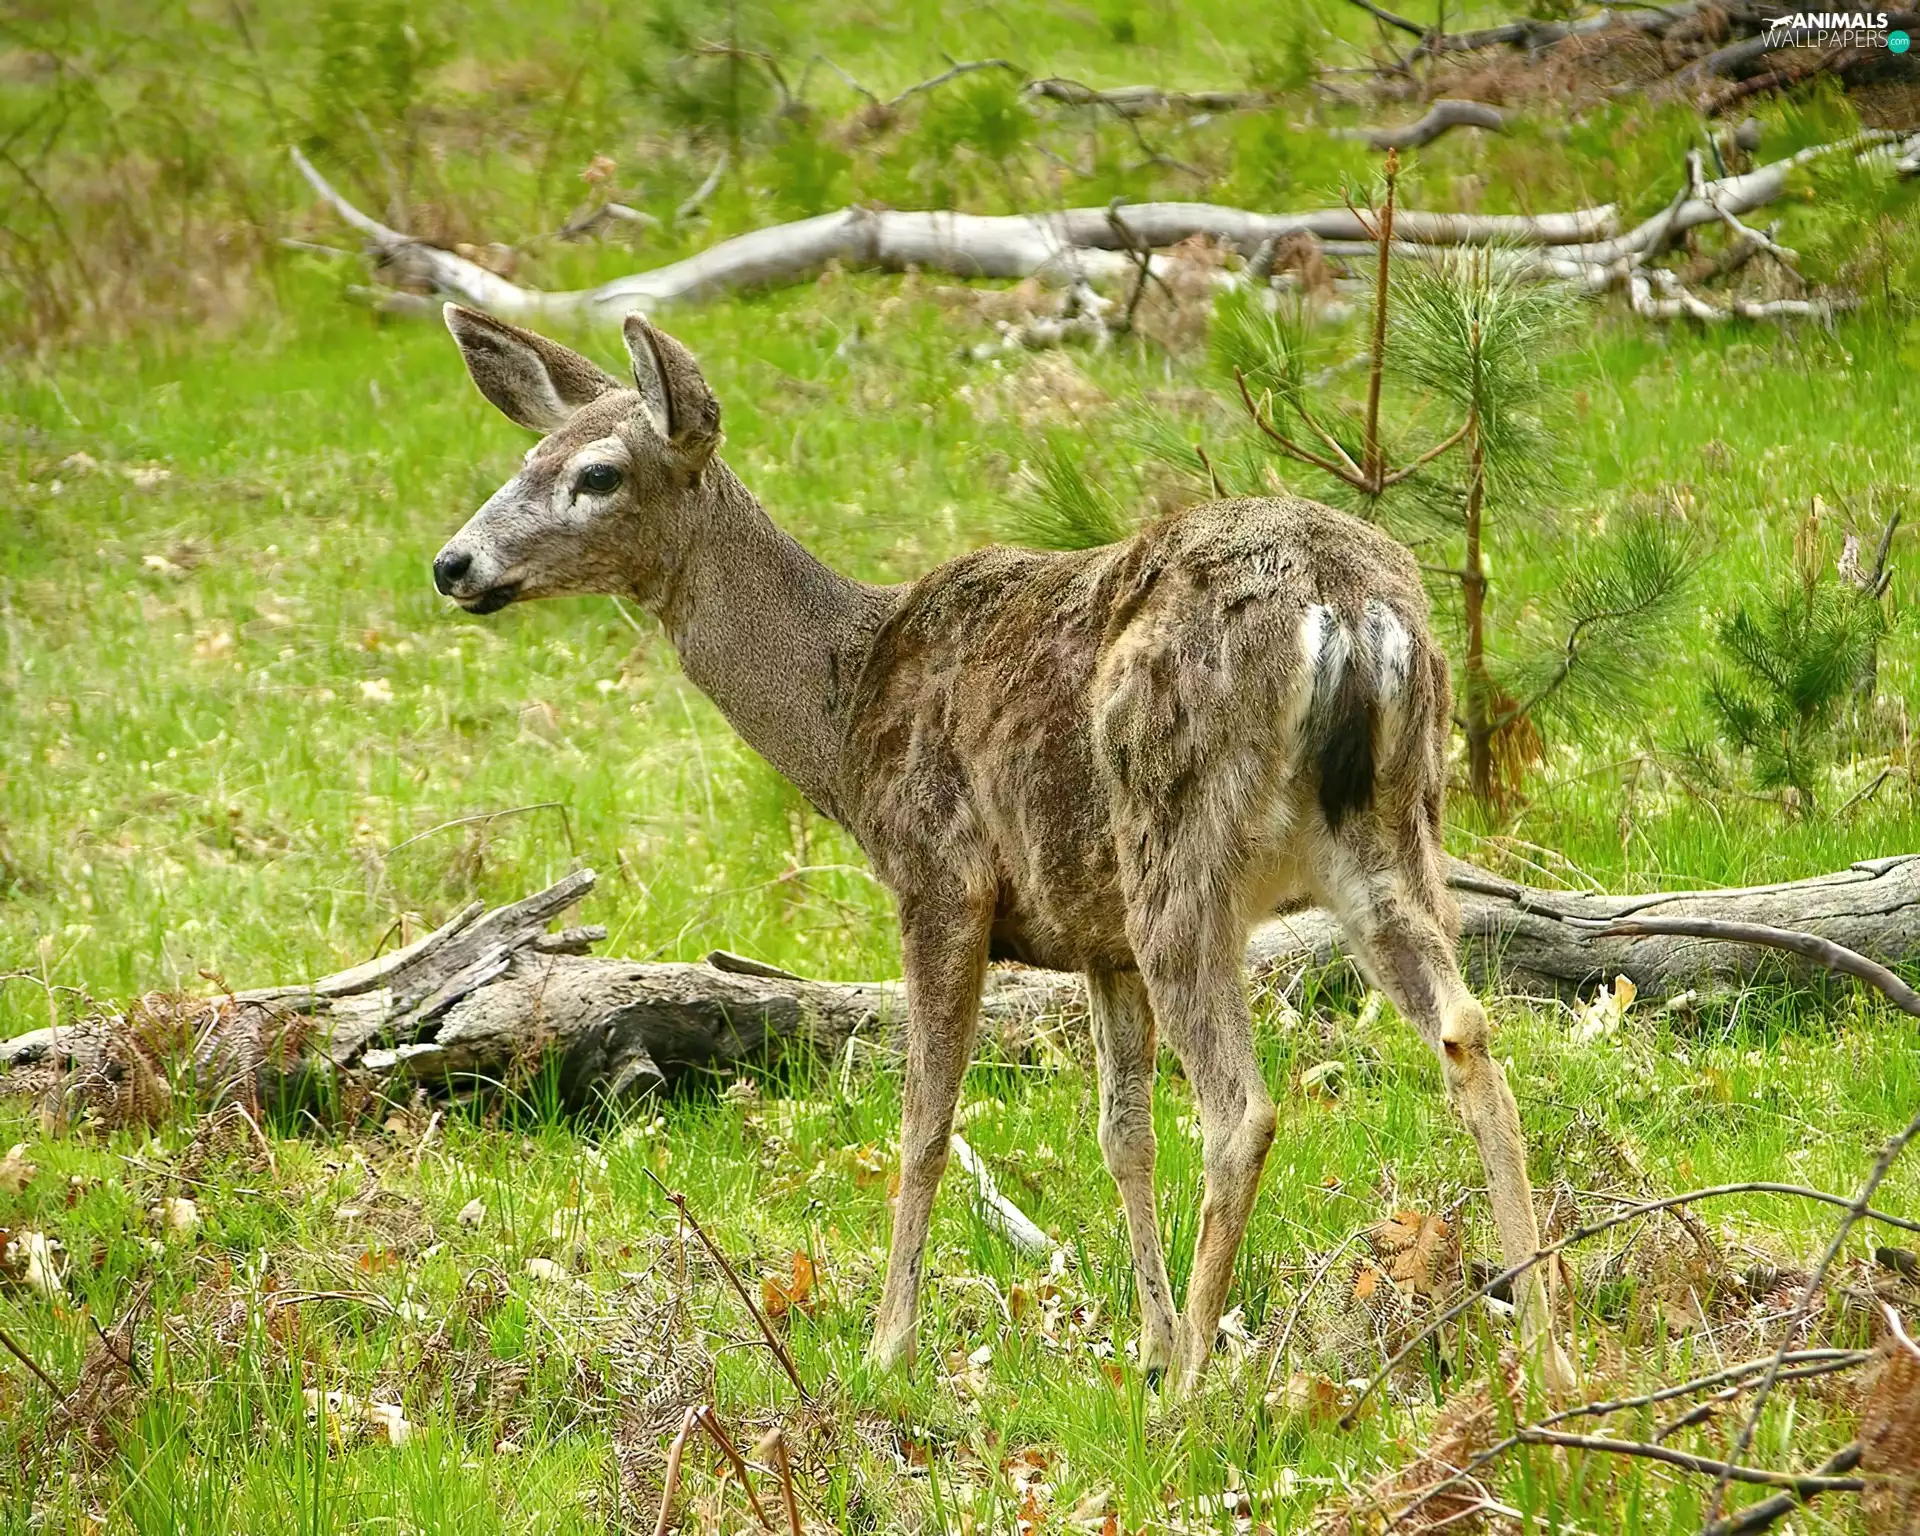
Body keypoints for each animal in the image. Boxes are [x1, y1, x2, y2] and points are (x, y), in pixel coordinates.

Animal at [431, 303, 1575, 1396]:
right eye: (528, 456)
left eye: (597, 473)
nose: (452, 564)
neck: (842, 712)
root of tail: (1348, 607)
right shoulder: (1096, 934)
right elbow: (1123, 1134)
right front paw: (1147, 1340)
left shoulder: (941, 873)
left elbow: (926, 1121)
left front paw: (890, 1347)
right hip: (1389, 834)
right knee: (1467, 1034)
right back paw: (1544, 1351)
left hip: (1180, 848)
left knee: (1241, 1107)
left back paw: (1195, 1392)